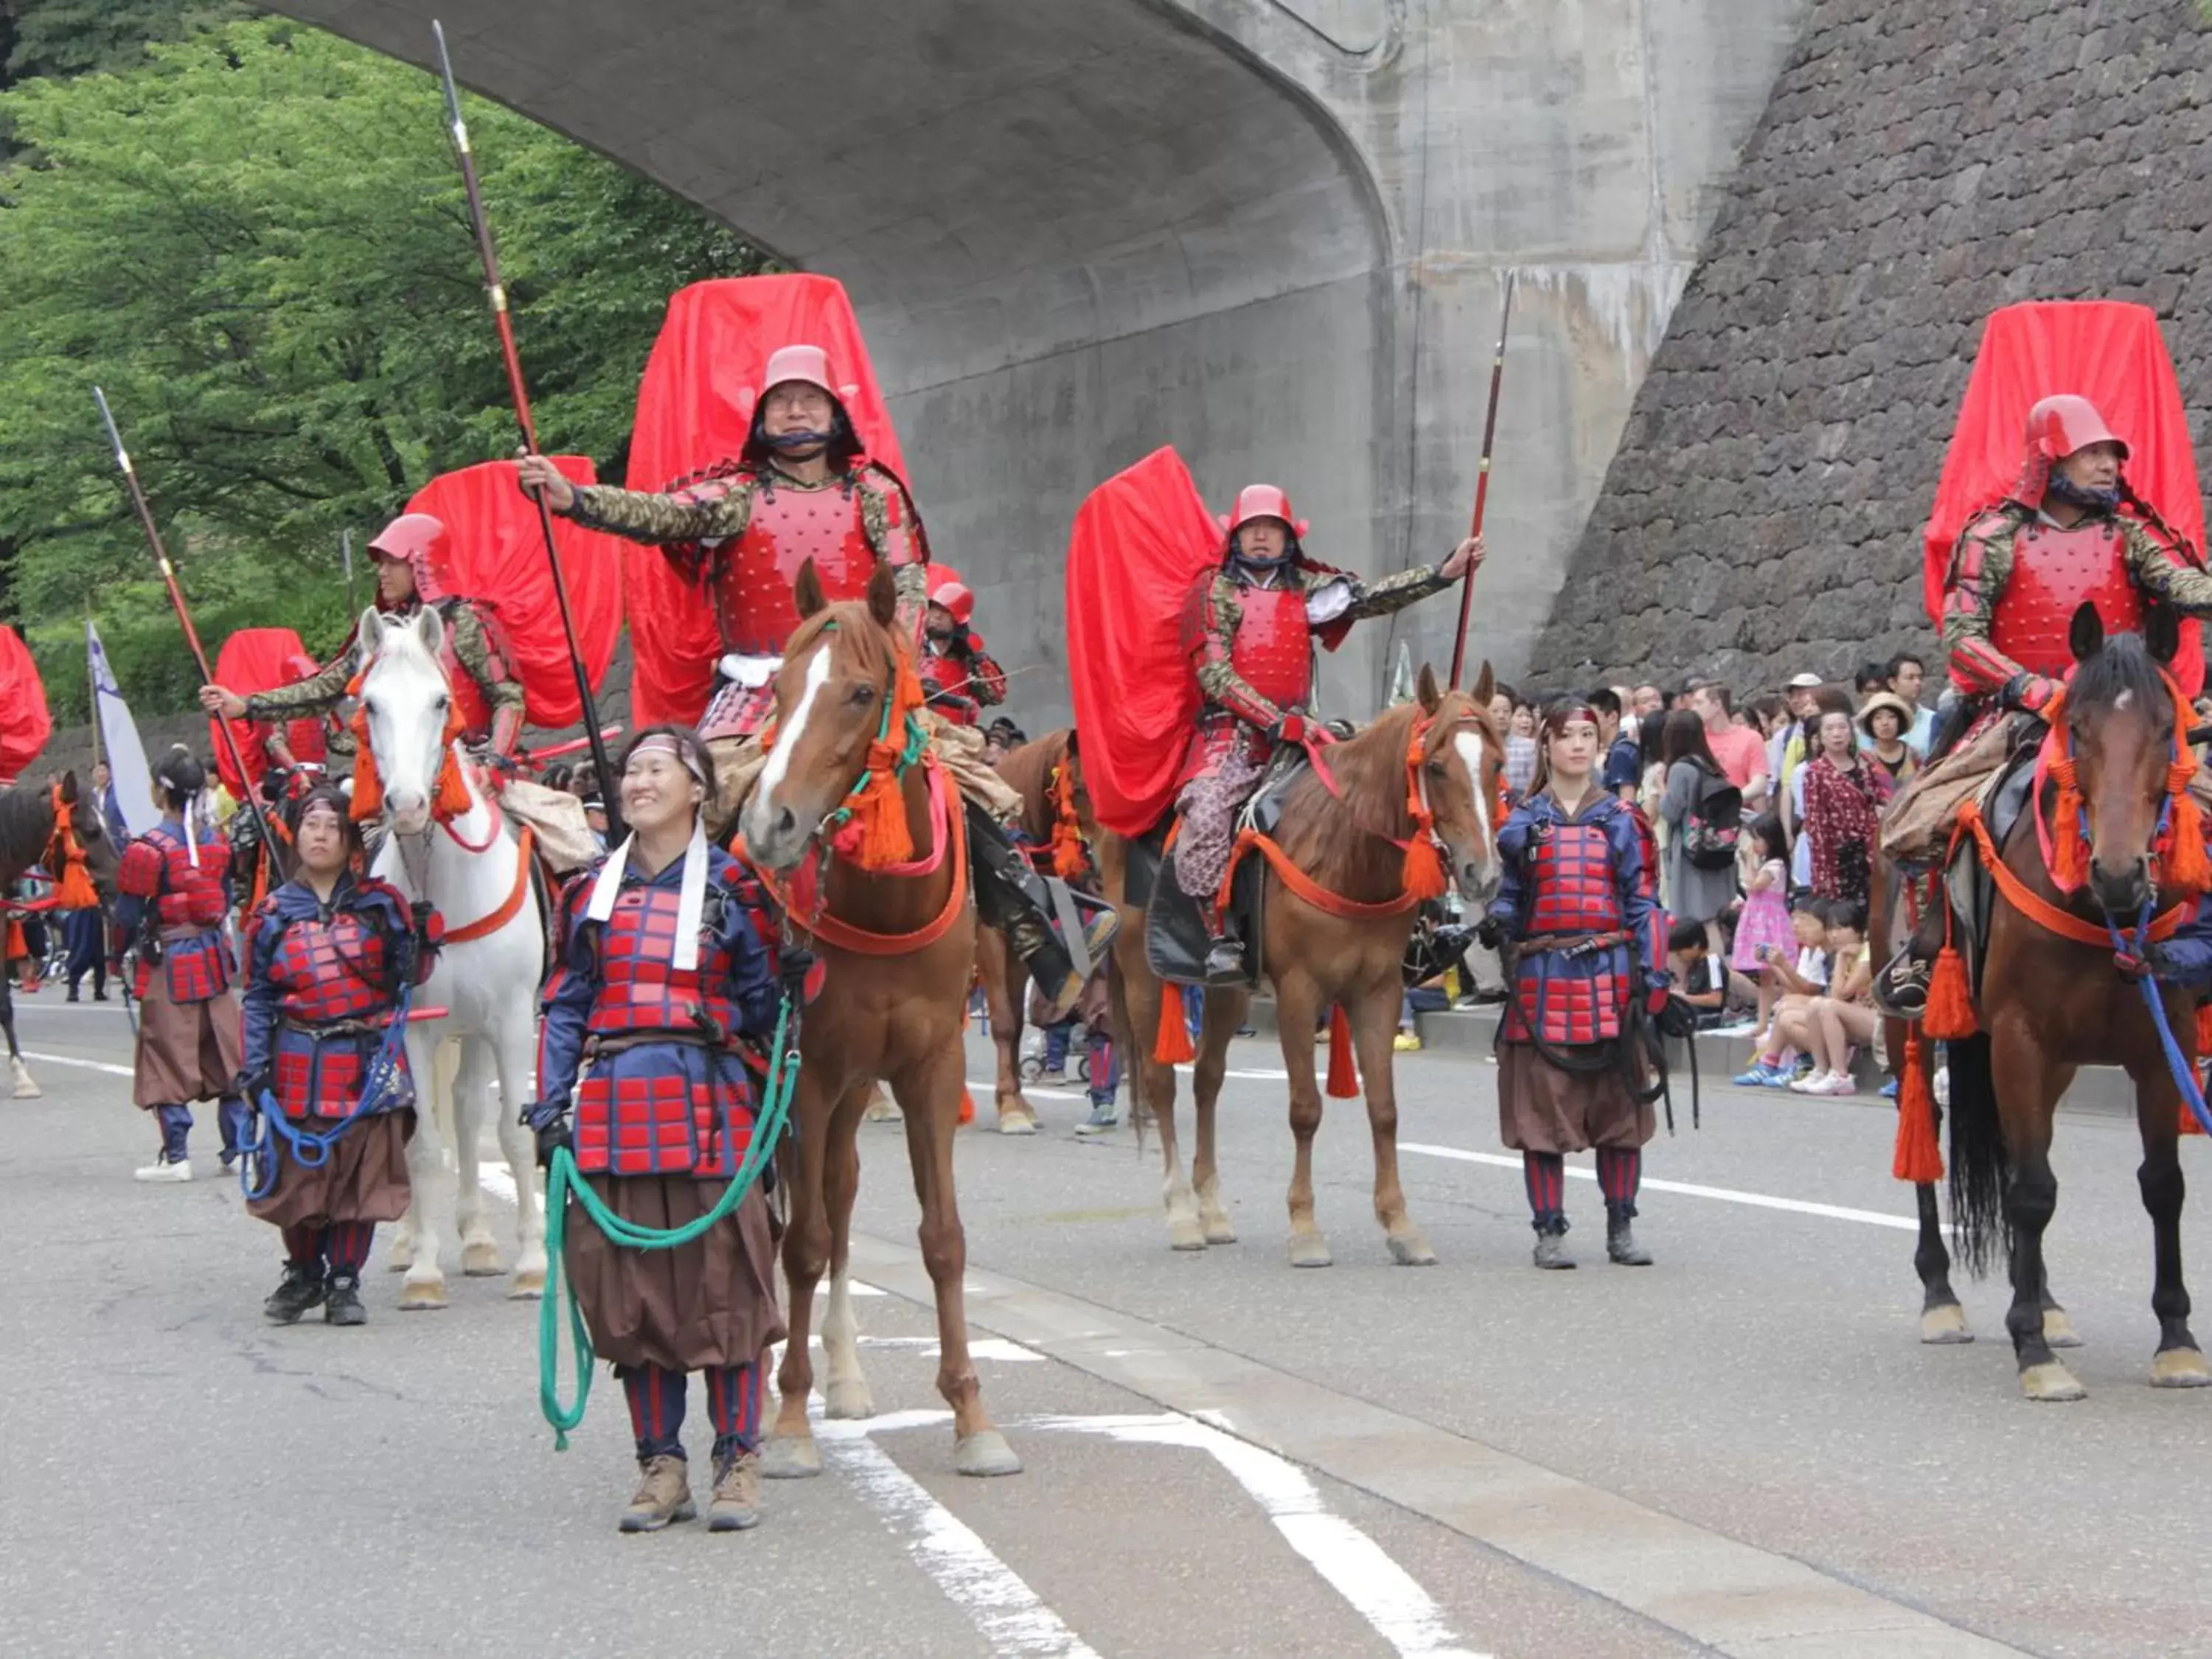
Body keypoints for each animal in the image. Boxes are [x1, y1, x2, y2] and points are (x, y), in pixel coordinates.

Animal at [354, 606, 549, 1310]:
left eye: (441, 700)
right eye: (369, 704)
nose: (409, 805)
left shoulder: (512, 1019)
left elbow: (513, 1133)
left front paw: (532, 1264)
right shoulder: (413, 1027)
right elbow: (422, 1144)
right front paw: (423, 1272)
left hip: (482, 1028)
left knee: (468, 1109)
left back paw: (482, 1240)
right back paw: (422, 1240)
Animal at [743, 560, 1018, 1478]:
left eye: (860, 693)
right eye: (779, 689)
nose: (769, 824)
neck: (888, 902)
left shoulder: (927, 1068)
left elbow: (943, 1238)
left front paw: (972, 1415)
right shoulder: (809, 1071)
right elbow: (800, 1240)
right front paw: (791, 1422)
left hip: (859, 1090)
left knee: (842, 1190)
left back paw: (848, 1374)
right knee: (788, 1211)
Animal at [1088, 668, 1504, 1265]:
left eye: (1495, 763)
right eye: (1437, 767)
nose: (1482, 875)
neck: (1347, 850)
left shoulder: (1380, 990)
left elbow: (1384, 1110)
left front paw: (1401, 1226)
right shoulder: (1299, 991)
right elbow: (1305, 1109)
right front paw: (1306, 1229)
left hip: (1229, 990)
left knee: (1208, 1080)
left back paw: (1213, 1209)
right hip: (1144, 976)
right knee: (1161, 1083)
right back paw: (1184, 1214)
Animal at [1902, 606, 2212, 1407]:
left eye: (2167, 729)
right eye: (2077, 727)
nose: (2119, 872)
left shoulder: (2158, 1046)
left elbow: (2163, 1187)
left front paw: (2177, 1341)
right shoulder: (2019, 1036)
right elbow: (2033, 1191)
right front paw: (2033, 1352)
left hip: (2064, 1063)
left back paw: (2043, 1299)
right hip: (1908, 1018)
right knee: (1937, 1142)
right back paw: (1941, 1299)